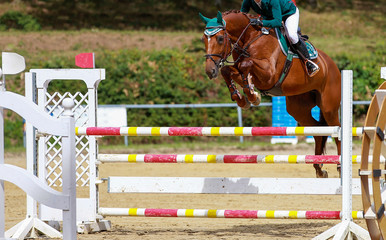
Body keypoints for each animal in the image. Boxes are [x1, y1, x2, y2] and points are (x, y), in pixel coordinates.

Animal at [201, 10, 342, 177]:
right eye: (203, 39)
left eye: (220, 38)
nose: (210, 71)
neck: (249, 38)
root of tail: (332, 65)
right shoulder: (240, 68)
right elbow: (228, 70)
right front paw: (242, 98)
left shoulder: (269, 74)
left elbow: (246, 64)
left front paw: (252, 95)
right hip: (298, 108)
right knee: (317, 131)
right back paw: (319, 168)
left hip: (328, 108)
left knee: (337, 133)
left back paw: (339, 166)